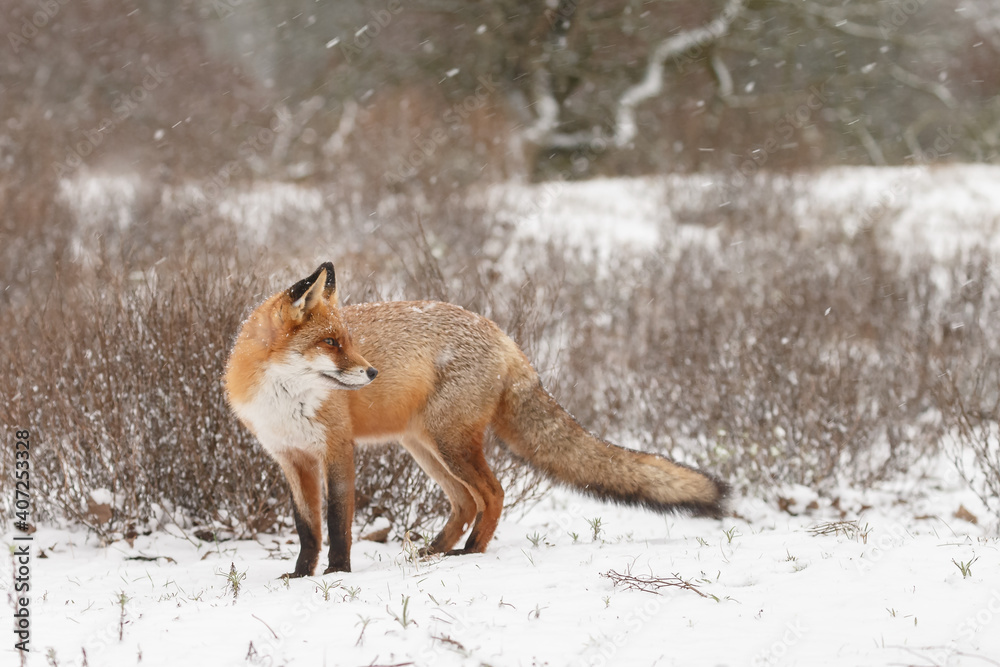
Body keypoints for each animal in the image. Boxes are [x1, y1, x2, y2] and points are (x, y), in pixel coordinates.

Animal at [224, 262, 727, 577]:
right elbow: (307, 528)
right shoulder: (291, 458)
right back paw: (435, 551)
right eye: (331, 342)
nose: (371, 373)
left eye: (347, 340)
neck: (283, 398)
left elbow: (337, 521)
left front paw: (339, 573)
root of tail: (503, 335)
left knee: (493, 493)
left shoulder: (336, 449)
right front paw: (300, 577)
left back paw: (471, 553)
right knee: (466, 502)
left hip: (450, 444)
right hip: (425, 447)